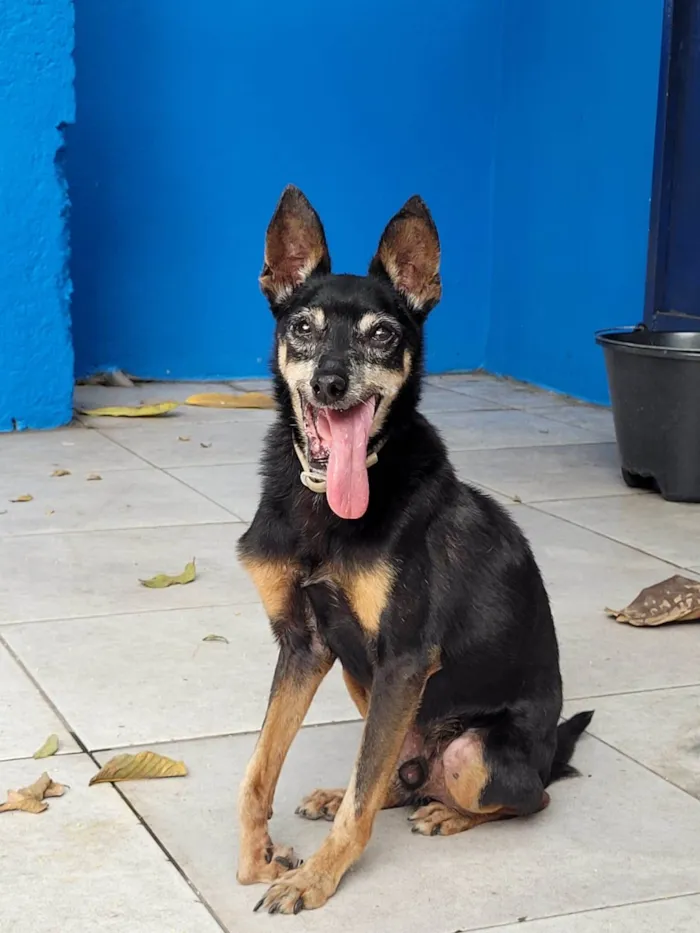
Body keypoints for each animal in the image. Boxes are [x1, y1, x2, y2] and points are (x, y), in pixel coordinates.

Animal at [238, 186, 592, 912]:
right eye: (302, 326)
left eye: (383, 333)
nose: (331, 383)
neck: (327, 503)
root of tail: (551, 754)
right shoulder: (305, 645)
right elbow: (260, 768)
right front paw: (258, 855)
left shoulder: (403, 660)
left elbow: (359, 804)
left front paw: (314, 880)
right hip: (360, 677)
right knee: (393, 772)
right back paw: (370, 791)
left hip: (471, 751)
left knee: (524, 798)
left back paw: (445, 813)